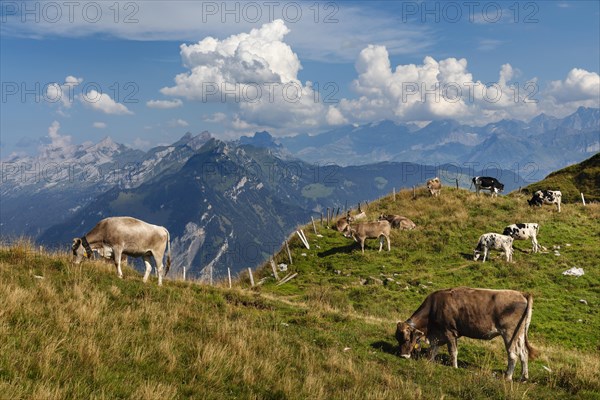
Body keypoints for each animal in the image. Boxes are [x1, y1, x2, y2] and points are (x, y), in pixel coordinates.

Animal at [396, 288, 536, 382]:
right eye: (398, 339)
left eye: (407, 338)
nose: (403, 355)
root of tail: (521, 293)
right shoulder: (437, 336)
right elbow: (433, 351)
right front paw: (429, 362)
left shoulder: (450, 332)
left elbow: (453, 352)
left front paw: (455, 367)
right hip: (519, 334)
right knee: (524, 353)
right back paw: (524, 377)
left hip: (509, 333)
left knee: (513, 354)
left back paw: (508, 377)